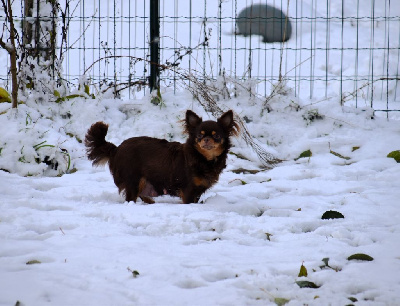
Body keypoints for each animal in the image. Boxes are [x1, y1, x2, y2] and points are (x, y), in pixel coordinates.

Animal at [85, 110, 238, 203]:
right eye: (199, 136)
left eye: (216, 136)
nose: (206, 139)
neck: (203, 158)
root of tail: (116, 149)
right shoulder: (188, 190)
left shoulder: (197, 191)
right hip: (134, 180)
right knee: (130, 198)